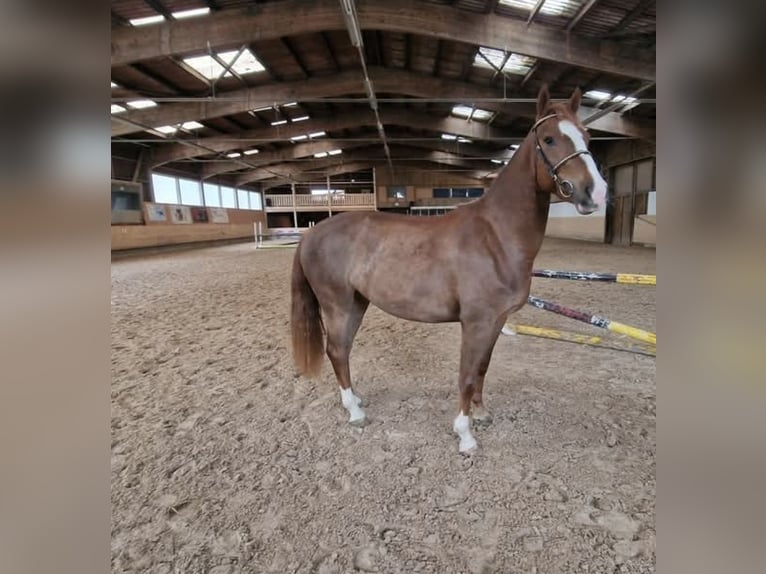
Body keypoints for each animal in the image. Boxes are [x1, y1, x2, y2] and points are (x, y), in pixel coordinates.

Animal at [289, 85, 608, 454]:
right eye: (549, 138)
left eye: (587, 135)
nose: (596, 192)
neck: (494, 235)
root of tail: (311, 232)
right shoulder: (476, 322)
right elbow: (466, 376)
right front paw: (465, 435)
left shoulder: (496, 321)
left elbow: (482, 368)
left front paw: (481, 414)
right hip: (337, 305)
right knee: (337, 350)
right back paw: (355, 413)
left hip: (357, 303)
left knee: (342, 351)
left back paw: (355, 400)